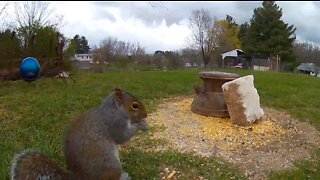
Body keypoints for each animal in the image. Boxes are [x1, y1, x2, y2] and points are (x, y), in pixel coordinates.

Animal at [9, 88, 149, 179]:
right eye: (135, 105)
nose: (146, 115)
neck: (114, 110)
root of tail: (80, 177)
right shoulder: (114, 123)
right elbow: (122, 136)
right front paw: (142, 125)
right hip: (110, 164)